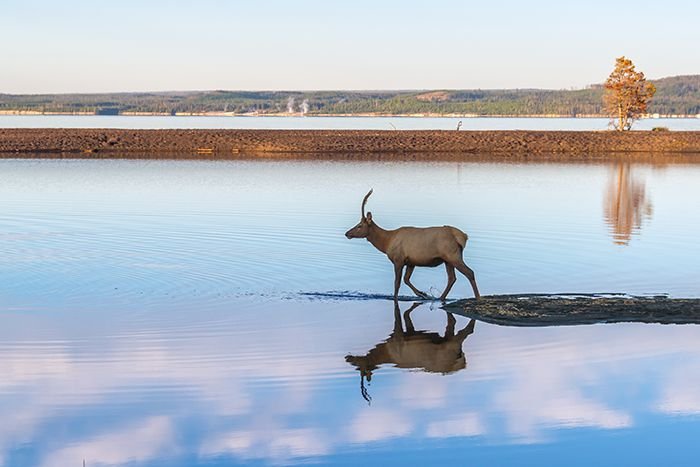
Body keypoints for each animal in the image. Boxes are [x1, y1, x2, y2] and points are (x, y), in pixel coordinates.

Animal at [344, 302, 476, 404]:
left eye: (359, 367)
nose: (347, 358)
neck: (385, 351)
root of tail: (463, 363)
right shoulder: (408, 333)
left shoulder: (398, 336)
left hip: (451, 343)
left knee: (464, 329)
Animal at [346, 188, 482, 302]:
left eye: (359, 226)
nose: (347, 233)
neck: (386, 243)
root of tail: (463, 236)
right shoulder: (411, 262)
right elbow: (406, 279)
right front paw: (423, 294)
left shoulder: (398, 259)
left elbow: (397, 283)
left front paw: (396, 298)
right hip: (447, 259)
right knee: (452, 278)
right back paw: (441, 297)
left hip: (452, 255)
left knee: (469, 272)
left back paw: (477, 297)